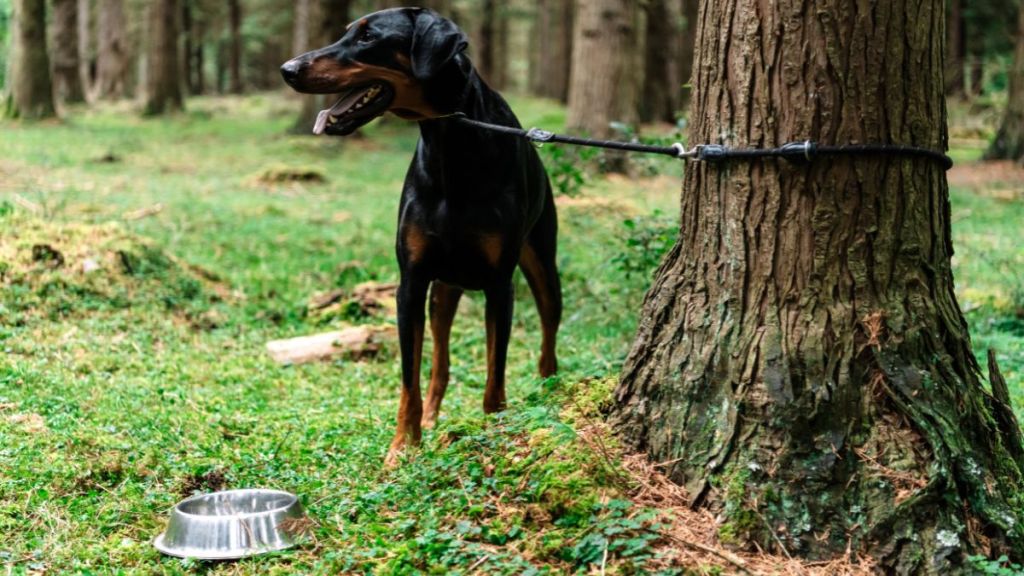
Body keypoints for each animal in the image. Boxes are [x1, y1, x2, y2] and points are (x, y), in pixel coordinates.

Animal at [280, 6, 565, 463]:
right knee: (440, 361)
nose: (288, 69)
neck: (452, 143)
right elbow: (409, 378)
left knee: (548, 335)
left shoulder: (499, 285)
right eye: (348, 32)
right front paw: (403, 446)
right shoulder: (411, 282)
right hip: (443, 289)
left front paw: (495, 430)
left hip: (542, 264)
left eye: (368, 37)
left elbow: (495, 374)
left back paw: (548, 389)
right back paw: (432, 417)